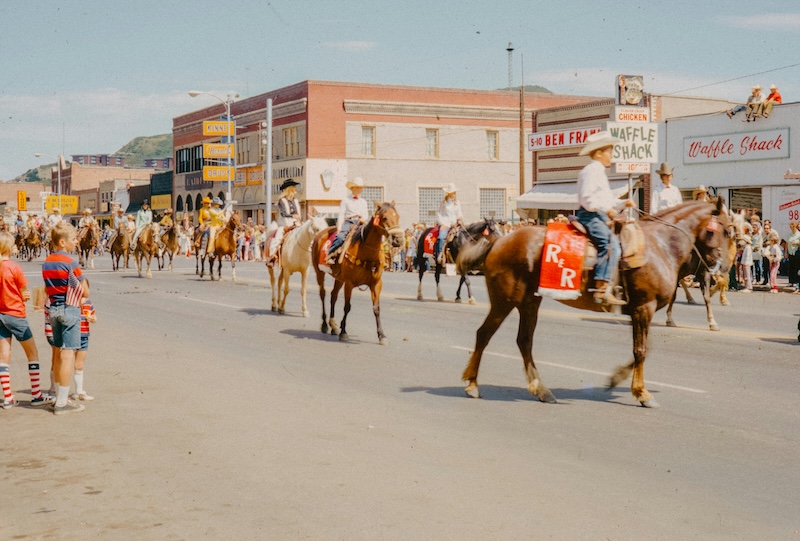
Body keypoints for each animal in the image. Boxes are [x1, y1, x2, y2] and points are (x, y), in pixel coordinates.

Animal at [310, 200, 404, 344]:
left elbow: (376, 309)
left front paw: (381, 335)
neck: (367, 253)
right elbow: (347, 306)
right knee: (323, 294)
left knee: (333, 296)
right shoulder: (349, 283)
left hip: (339, 278)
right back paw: (325, 325)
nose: (398, 240)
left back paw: (333, 326)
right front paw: (343, 331)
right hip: (319, 272)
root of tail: (320, 234)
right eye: (384, 218)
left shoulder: (376, 284)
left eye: (397, 216)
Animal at [460, 200, 736, 408]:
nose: (723, 268)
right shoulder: (643, 308)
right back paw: (472, 385)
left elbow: (642, 349)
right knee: (484, 334)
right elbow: (641, 351)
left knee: (524, 341)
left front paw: (616, 379)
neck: (660, 245)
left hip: (529, 302)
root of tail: (499, 241)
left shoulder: (638, 311)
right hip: (504, 301)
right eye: (724, 230)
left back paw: (541, 390)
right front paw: (642, 393)